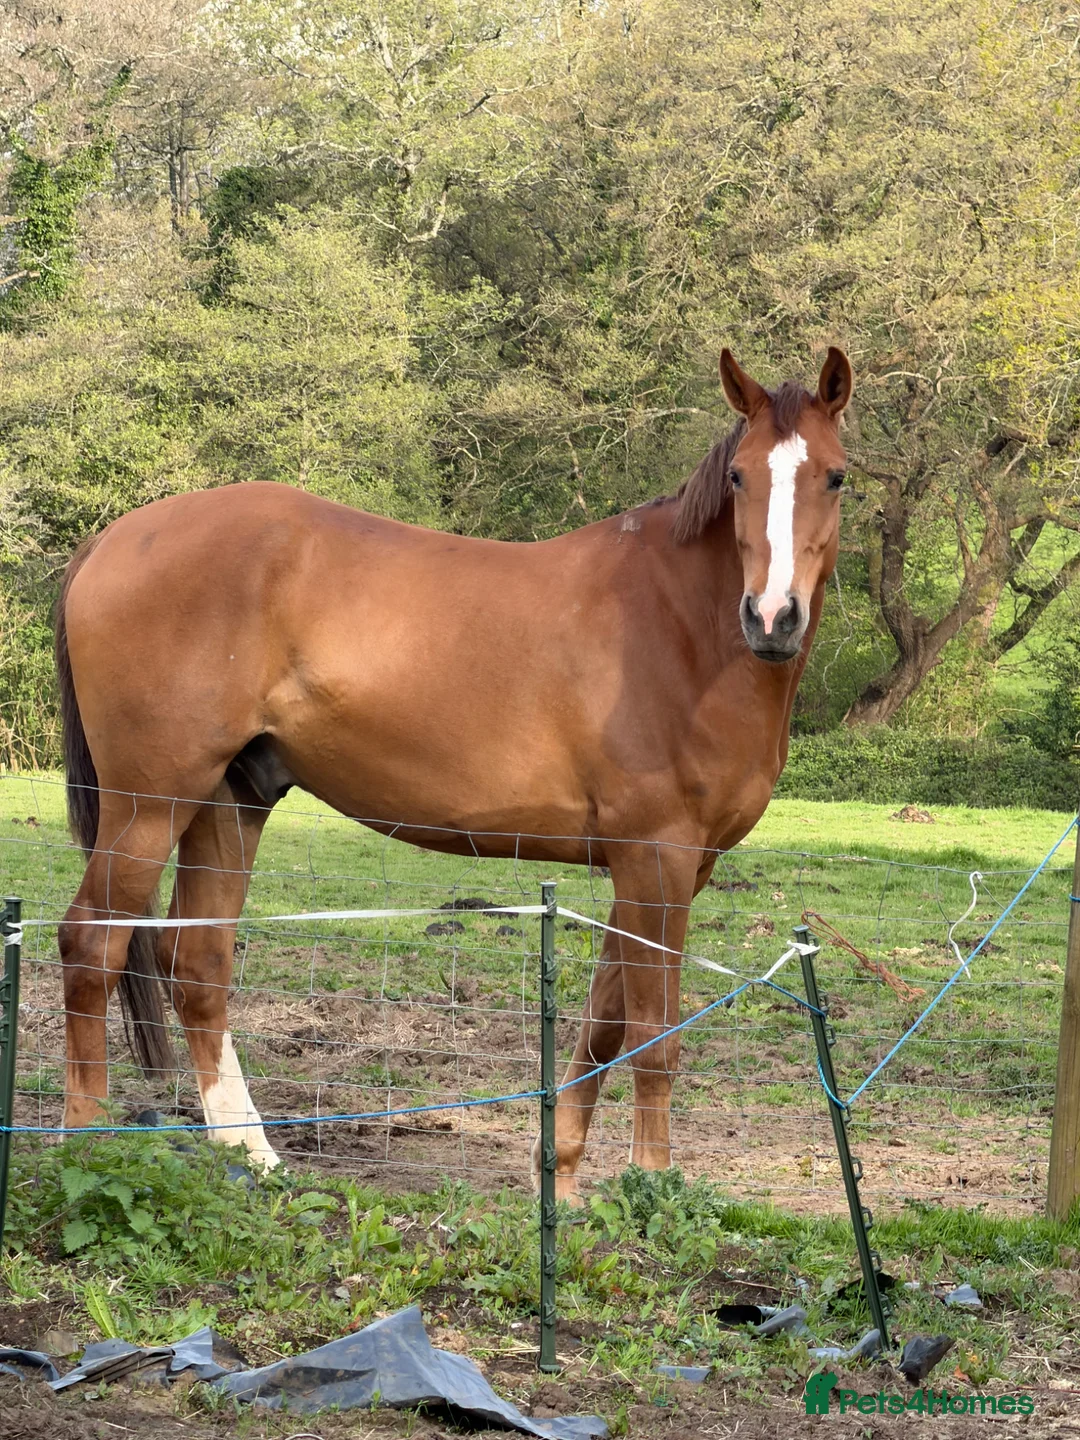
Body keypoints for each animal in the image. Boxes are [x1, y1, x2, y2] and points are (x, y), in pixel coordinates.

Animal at [54, 346, 852, 1197]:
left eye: (835, 476)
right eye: (739, 476)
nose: (772, 618)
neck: (681, 627)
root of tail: (113, 539)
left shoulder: (670, 868)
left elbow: (603, 1028)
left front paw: (562, 1183)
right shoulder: (656, 860)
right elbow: (653, 1039)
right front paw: (648, 1188)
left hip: (228, 801)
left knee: (198, 964)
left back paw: (252, 1153)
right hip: (149, 804)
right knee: (92, 945)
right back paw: (84, 1146)